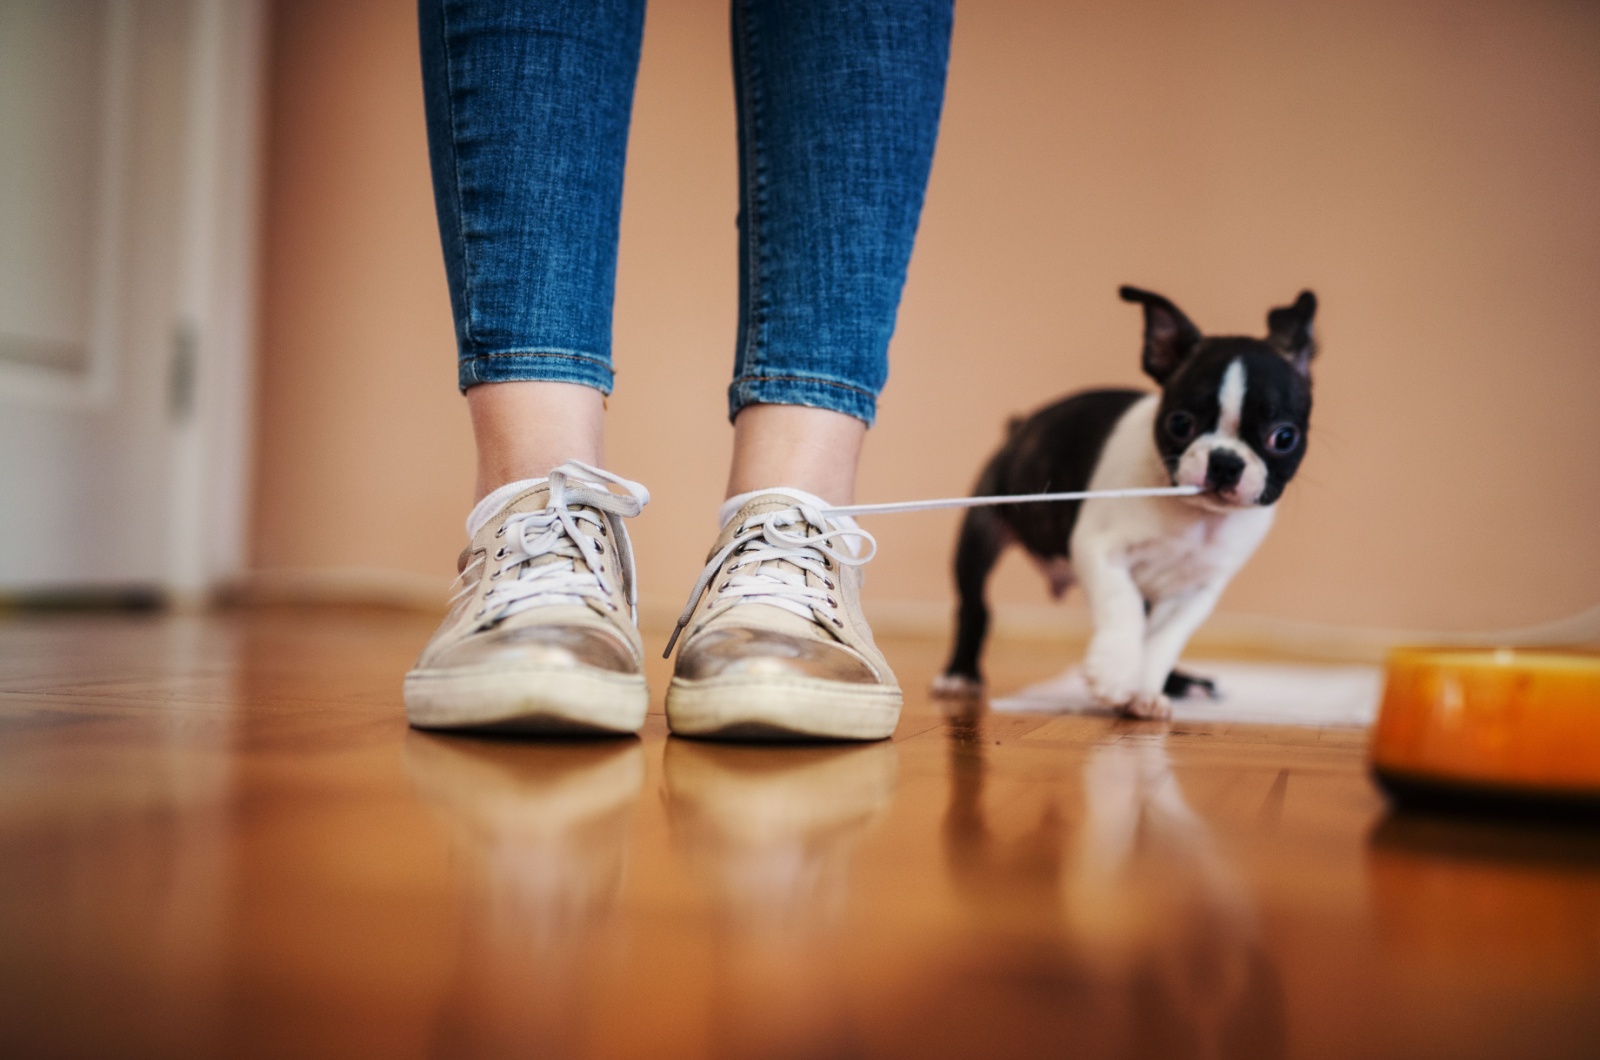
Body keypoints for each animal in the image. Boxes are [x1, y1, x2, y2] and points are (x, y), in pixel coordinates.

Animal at [934, 288, 1318, 723]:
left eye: (1284, 437)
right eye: (1179, 423)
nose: (1224, 461)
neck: (1195, 519)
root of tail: (1019, 426)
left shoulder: (1195, 592)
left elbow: (1163, 640)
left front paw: (1145, 690)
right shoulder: (1101, 549)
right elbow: (1124, 605)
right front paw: (1115, 674)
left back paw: (1181, 684)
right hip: (981, 532)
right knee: (975, 607)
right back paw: (960, 675)